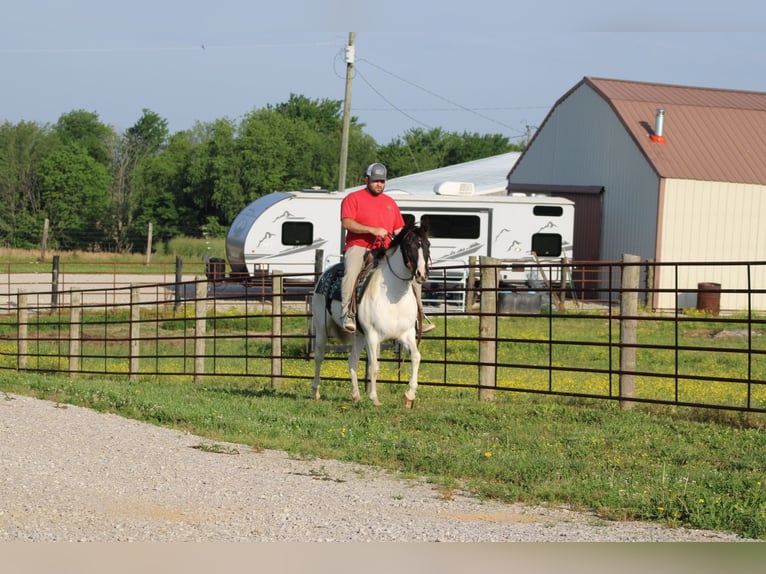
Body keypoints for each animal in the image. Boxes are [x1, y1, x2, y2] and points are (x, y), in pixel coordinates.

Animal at [311, 222, 430, 408]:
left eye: (427, 244)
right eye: (409, 244)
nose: (421, 274)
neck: (394, 296)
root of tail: (324, 274)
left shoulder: (407, 334)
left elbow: (416, 357)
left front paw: (409, 396)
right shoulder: (373, 335)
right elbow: (374, 366)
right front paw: (374, 398)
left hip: (359, 335)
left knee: (352, 360)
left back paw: (356, 396)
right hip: (322, 328)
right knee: (319, 356)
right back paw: (315, 391)